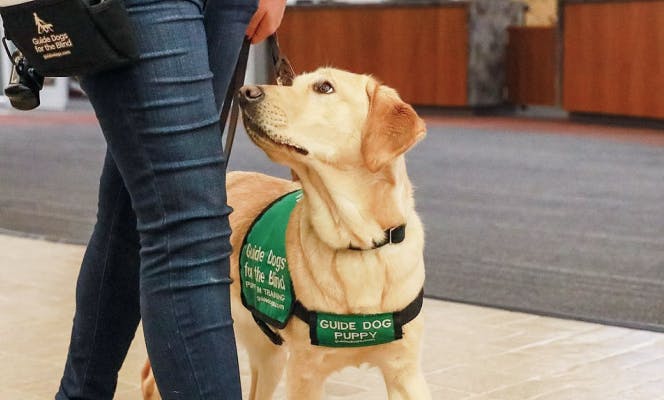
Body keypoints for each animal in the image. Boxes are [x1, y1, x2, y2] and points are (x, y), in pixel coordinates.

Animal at [141, 69, 430, 400]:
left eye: (324, 87)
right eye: (291, 82)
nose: (245, 92)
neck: (358, 246)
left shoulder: (405, 373)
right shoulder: (305, 374)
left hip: (270, 355)